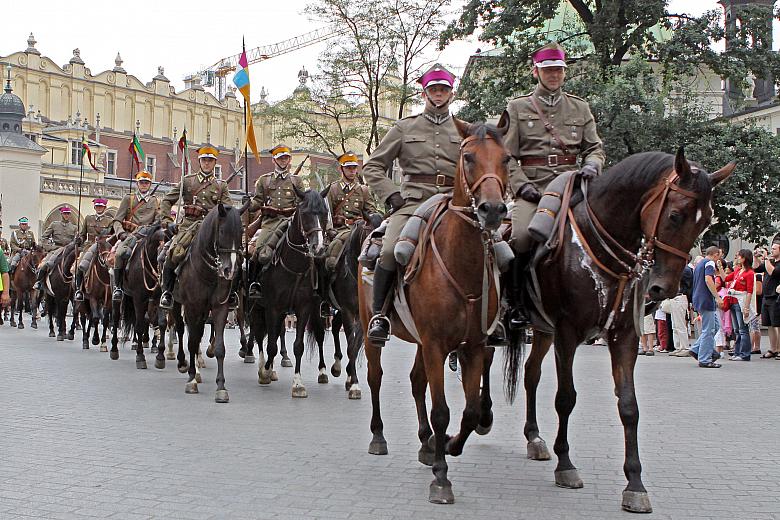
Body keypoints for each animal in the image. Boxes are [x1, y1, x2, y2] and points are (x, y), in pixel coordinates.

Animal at [172, 203, 242, 402]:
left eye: (241, 232)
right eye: (223, 231)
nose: (229, 270)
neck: (208, 273)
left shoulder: (220, 308)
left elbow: (219, 347)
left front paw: (221, 387)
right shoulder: (191, 308)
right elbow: (192, 342)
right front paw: (191, 380)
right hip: (177, 305)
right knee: (180, 331)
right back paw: (183, 363)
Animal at [250, 187, 330, 398]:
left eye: (324, 213)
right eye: (305, 213)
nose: (318, 247)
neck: (294, 267)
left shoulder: (304, 308)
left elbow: (298, 345)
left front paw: (298, 384)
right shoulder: (273, 307)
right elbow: (270, 344)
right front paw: (265, 372)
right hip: (255, 306)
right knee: (259, 334)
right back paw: (263, 366)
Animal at [358, 119, 512, 504]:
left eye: (506, 158)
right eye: (468, 157)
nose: (492, 210)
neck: (462, 263)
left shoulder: (472, 347)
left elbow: (470, 411)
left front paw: (451, 446)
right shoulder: (436, 344)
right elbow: (442, 410)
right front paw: (442, 477)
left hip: (420, 342)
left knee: (416, 382)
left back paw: (427, 443)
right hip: (371, 331)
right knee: (375, 377)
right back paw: (379, 436)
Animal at [502, 148, 736, 512]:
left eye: (705, 221)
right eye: (675, 216)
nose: (664, 289)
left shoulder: (624, 335)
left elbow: (629, 406)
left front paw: (635, 484)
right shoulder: (567, 333)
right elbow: (565, 398)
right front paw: (566, 465)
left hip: (542, 330)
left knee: (530, 374)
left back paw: (534, 437)